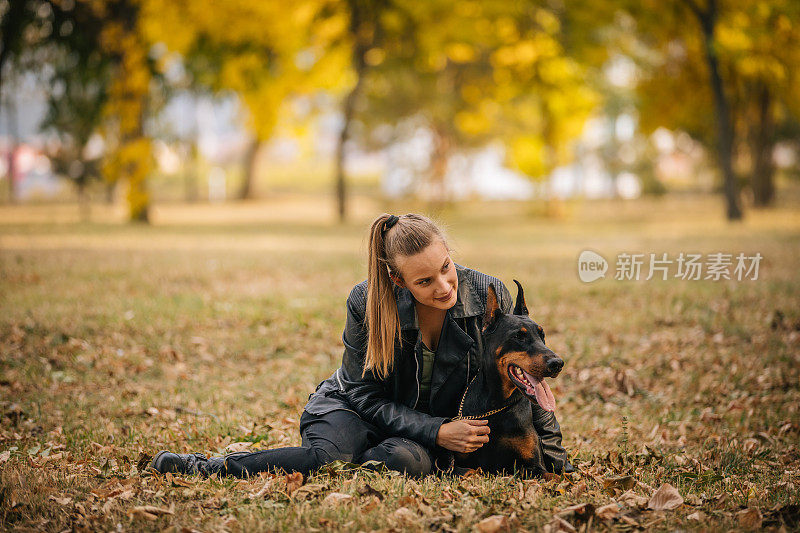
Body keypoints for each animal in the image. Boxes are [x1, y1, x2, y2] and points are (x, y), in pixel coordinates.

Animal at [440, 280, 564, 476]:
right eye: (518, 336)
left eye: (542, 335)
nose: (557, 363)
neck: (497, 405)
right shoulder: (455, 464)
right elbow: (470, 471)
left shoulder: (535, 466)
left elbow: (552, 476)